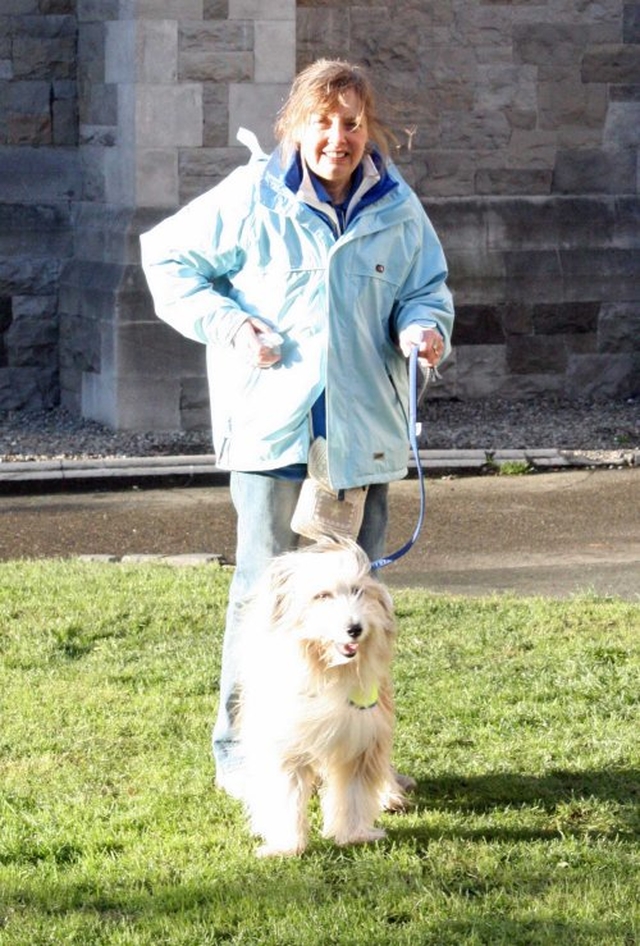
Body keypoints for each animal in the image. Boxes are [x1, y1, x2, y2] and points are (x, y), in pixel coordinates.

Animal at [238, 540, 402, 856]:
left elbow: (354, 791)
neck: (328, 671)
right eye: (322, 595)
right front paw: (287, 844)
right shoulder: (283, 742)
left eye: (358, 591)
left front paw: (354, 834)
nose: (355, 628)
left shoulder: (361, 738)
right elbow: (286, 792)